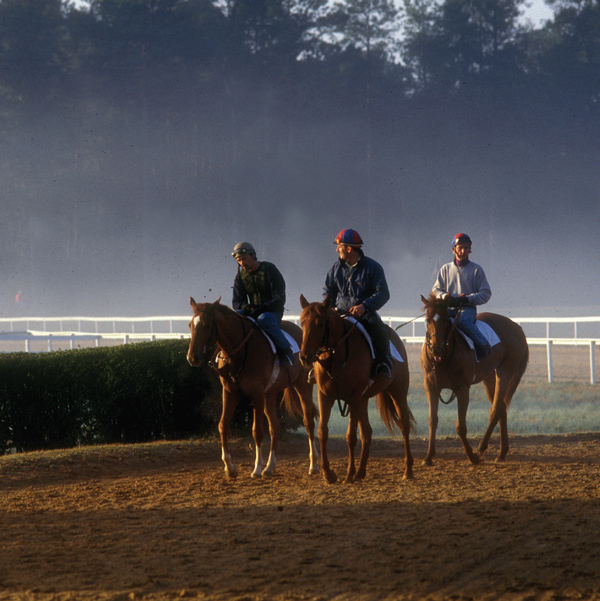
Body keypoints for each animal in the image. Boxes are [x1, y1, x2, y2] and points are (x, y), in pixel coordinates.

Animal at [189, 296, 322, 478]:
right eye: (190, 325)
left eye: (206, 325)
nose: (192, 357)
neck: (240, 353)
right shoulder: (229, 392)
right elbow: (223, 425)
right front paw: (229, 467)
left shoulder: (257, 394)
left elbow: (257, 431)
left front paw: (257, 467)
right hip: (270, 394)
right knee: (275, 427)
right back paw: (270, 466)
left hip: (302, 386)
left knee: (308, 422)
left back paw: (313, 464)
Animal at [298, 296, 414, 482]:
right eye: (302, 322)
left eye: (320, 323)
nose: (304, 357)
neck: (336, 358)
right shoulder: (325, 396)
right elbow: (322, 432)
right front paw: (328, 473)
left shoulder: (353, 397)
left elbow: (351, 437)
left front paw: (349, 473)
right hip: (363, 400)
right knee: (367, 432)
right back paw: (360, 473)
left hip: (397, 393)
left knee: (404, 426)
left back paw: (408, 470)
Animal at [420, 290, 528, 464]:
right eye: (428, 319)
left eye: (445, 320)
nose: (436, 348)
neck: (444, 357)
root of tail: (517, 327)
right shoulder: (430, 386)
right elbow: (432, 420)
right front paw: (429, 456)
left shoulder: (463, 388)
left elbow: (461, 426)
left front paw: (471, 456)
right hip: (489, 377)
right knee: (501, 408)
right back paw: (501, 453)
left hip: (505, 372)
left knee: (495, 409)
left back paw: (482, 448)